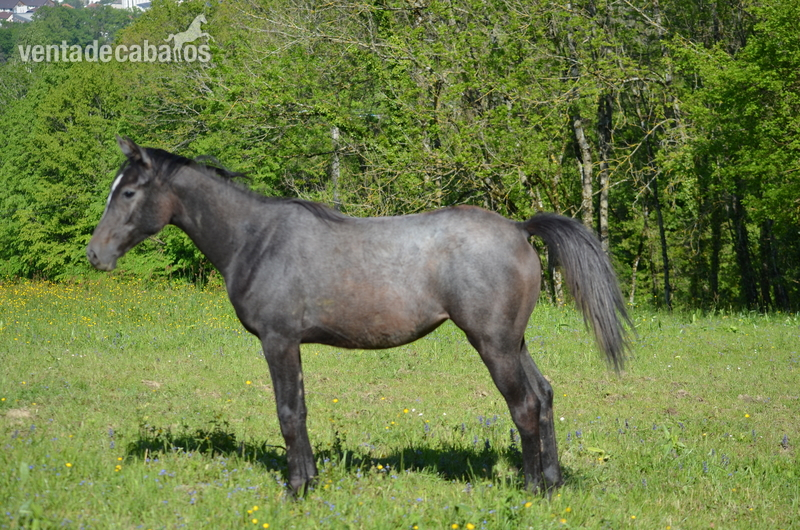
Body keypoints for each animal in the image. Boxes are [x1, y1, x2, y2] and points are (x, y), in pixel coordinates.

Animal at [87, 136, 632, 495]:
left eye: (129, 192)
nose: (96, 254)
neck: (256, 240)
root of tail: (519, 228)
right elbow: (301, 410)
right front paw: (309, 478)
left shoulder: (278, 341)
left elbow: (288, 413)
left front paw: (297, 488)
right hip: (514, 341)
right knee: (544, 395)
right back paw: (553, 481)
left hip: (494, 345)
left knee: (523, 406)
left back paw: (533, 488)